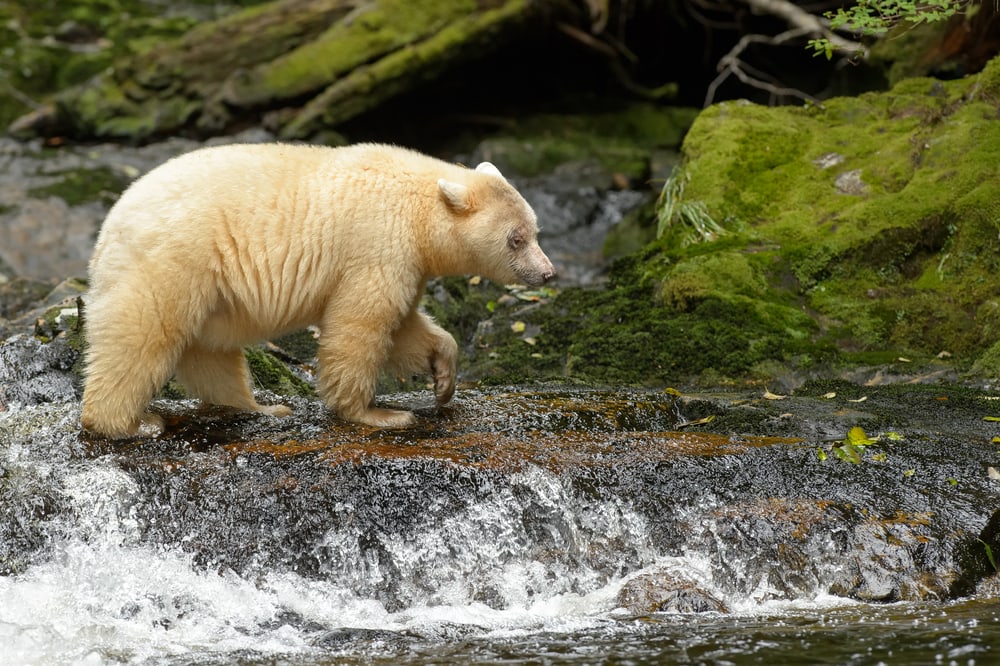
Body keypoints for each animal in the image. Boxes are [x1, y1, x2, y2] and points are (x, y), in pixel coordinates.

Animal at [80, 142, 555, 438]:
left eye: (536, 231)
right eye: (516, 238)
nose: (548, 273)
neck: (418, 206)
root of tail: (107, 229)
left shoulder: (407, 260)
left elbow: (405, 327)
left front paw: (443, 377)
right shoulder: (378, 245)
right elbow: (361, 325)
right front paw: (380, 413)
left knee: (210, 352)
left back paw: (261, 408)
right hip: (172, 260)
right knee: (144, 338)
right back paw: (129, 423)